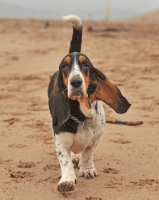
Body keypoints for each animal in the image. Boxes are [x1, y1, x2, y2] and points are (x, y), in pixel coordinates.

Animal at [47, 14, 131, 193]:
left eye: (85, 65)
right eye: (64, 66)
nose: (76, 82)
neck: (82, 116)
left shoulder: (95, 139)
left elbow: (87, 153)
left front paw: (87, 169)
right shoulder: (60, 141)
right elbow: (65, 161)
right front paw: (67, 180)